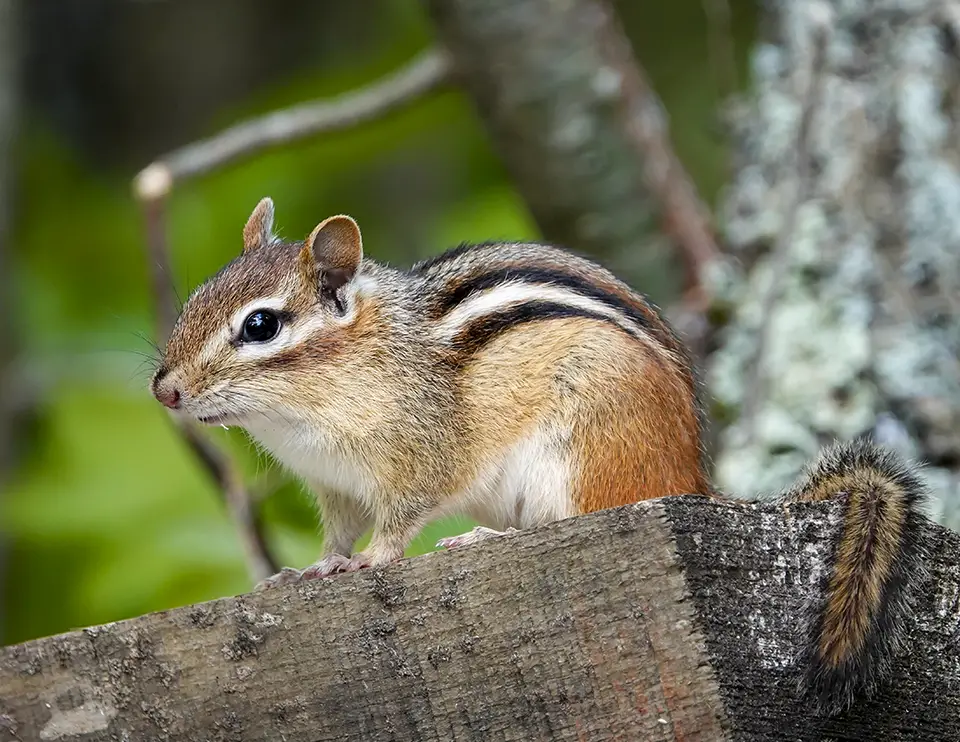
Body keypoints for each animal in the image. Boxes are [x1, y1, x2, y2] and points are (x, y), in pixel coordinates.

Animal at [152, 198, 928, 715]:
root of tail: (691, 479)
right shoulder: (335, 488)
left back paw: (485, 538)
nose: (165, 389)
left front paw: (371, 562)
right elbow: (336, 533)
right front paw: (305, 572)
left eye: (261, 325)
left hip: (581, 454)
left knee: (570, 520)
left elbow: (399, 523)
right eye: (195, 299)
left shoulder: (419, 458)